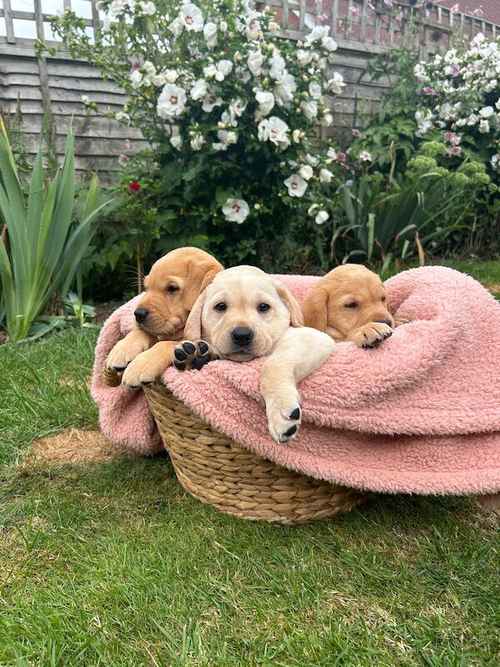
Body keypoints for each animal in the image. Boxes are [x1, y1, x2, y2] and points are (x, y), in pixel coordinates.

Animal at [107, 248, 223, 386]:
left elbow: (165, 344)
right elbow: (142, 332)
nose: (138, 314)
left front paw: (142, 364)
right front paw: (122, 349)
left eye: (172, 288)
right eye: (146, 288)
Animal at [174, 264, 334, 444]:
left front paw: (281, 409)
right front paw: (196, 352)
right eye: (220, 306)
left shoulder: (311, 337)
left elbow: (272, 365)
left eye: (263, 307)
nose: (242, 335)